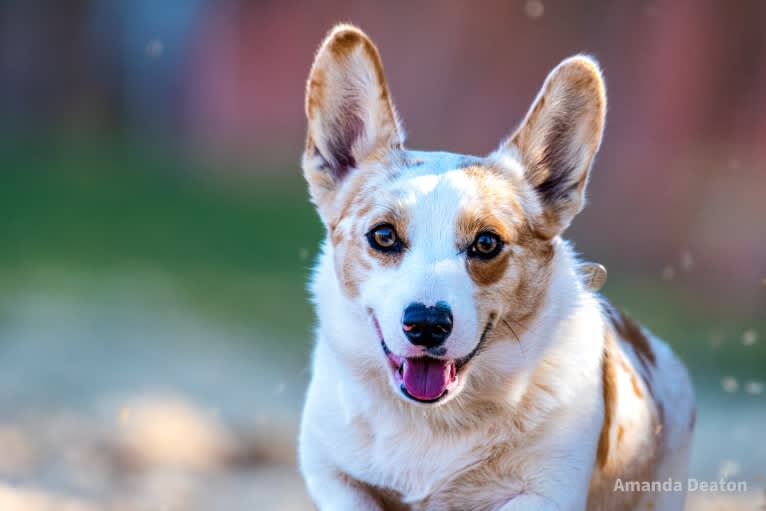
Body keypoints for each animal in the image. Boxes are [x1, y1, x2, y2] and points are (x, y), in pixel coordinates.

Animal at [298, 25, 696, 511]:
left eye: (486, 242)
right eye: (384, 236)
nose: (426, 324)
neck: (433, 421)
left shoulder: (545, 493)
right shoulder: (332, 475)